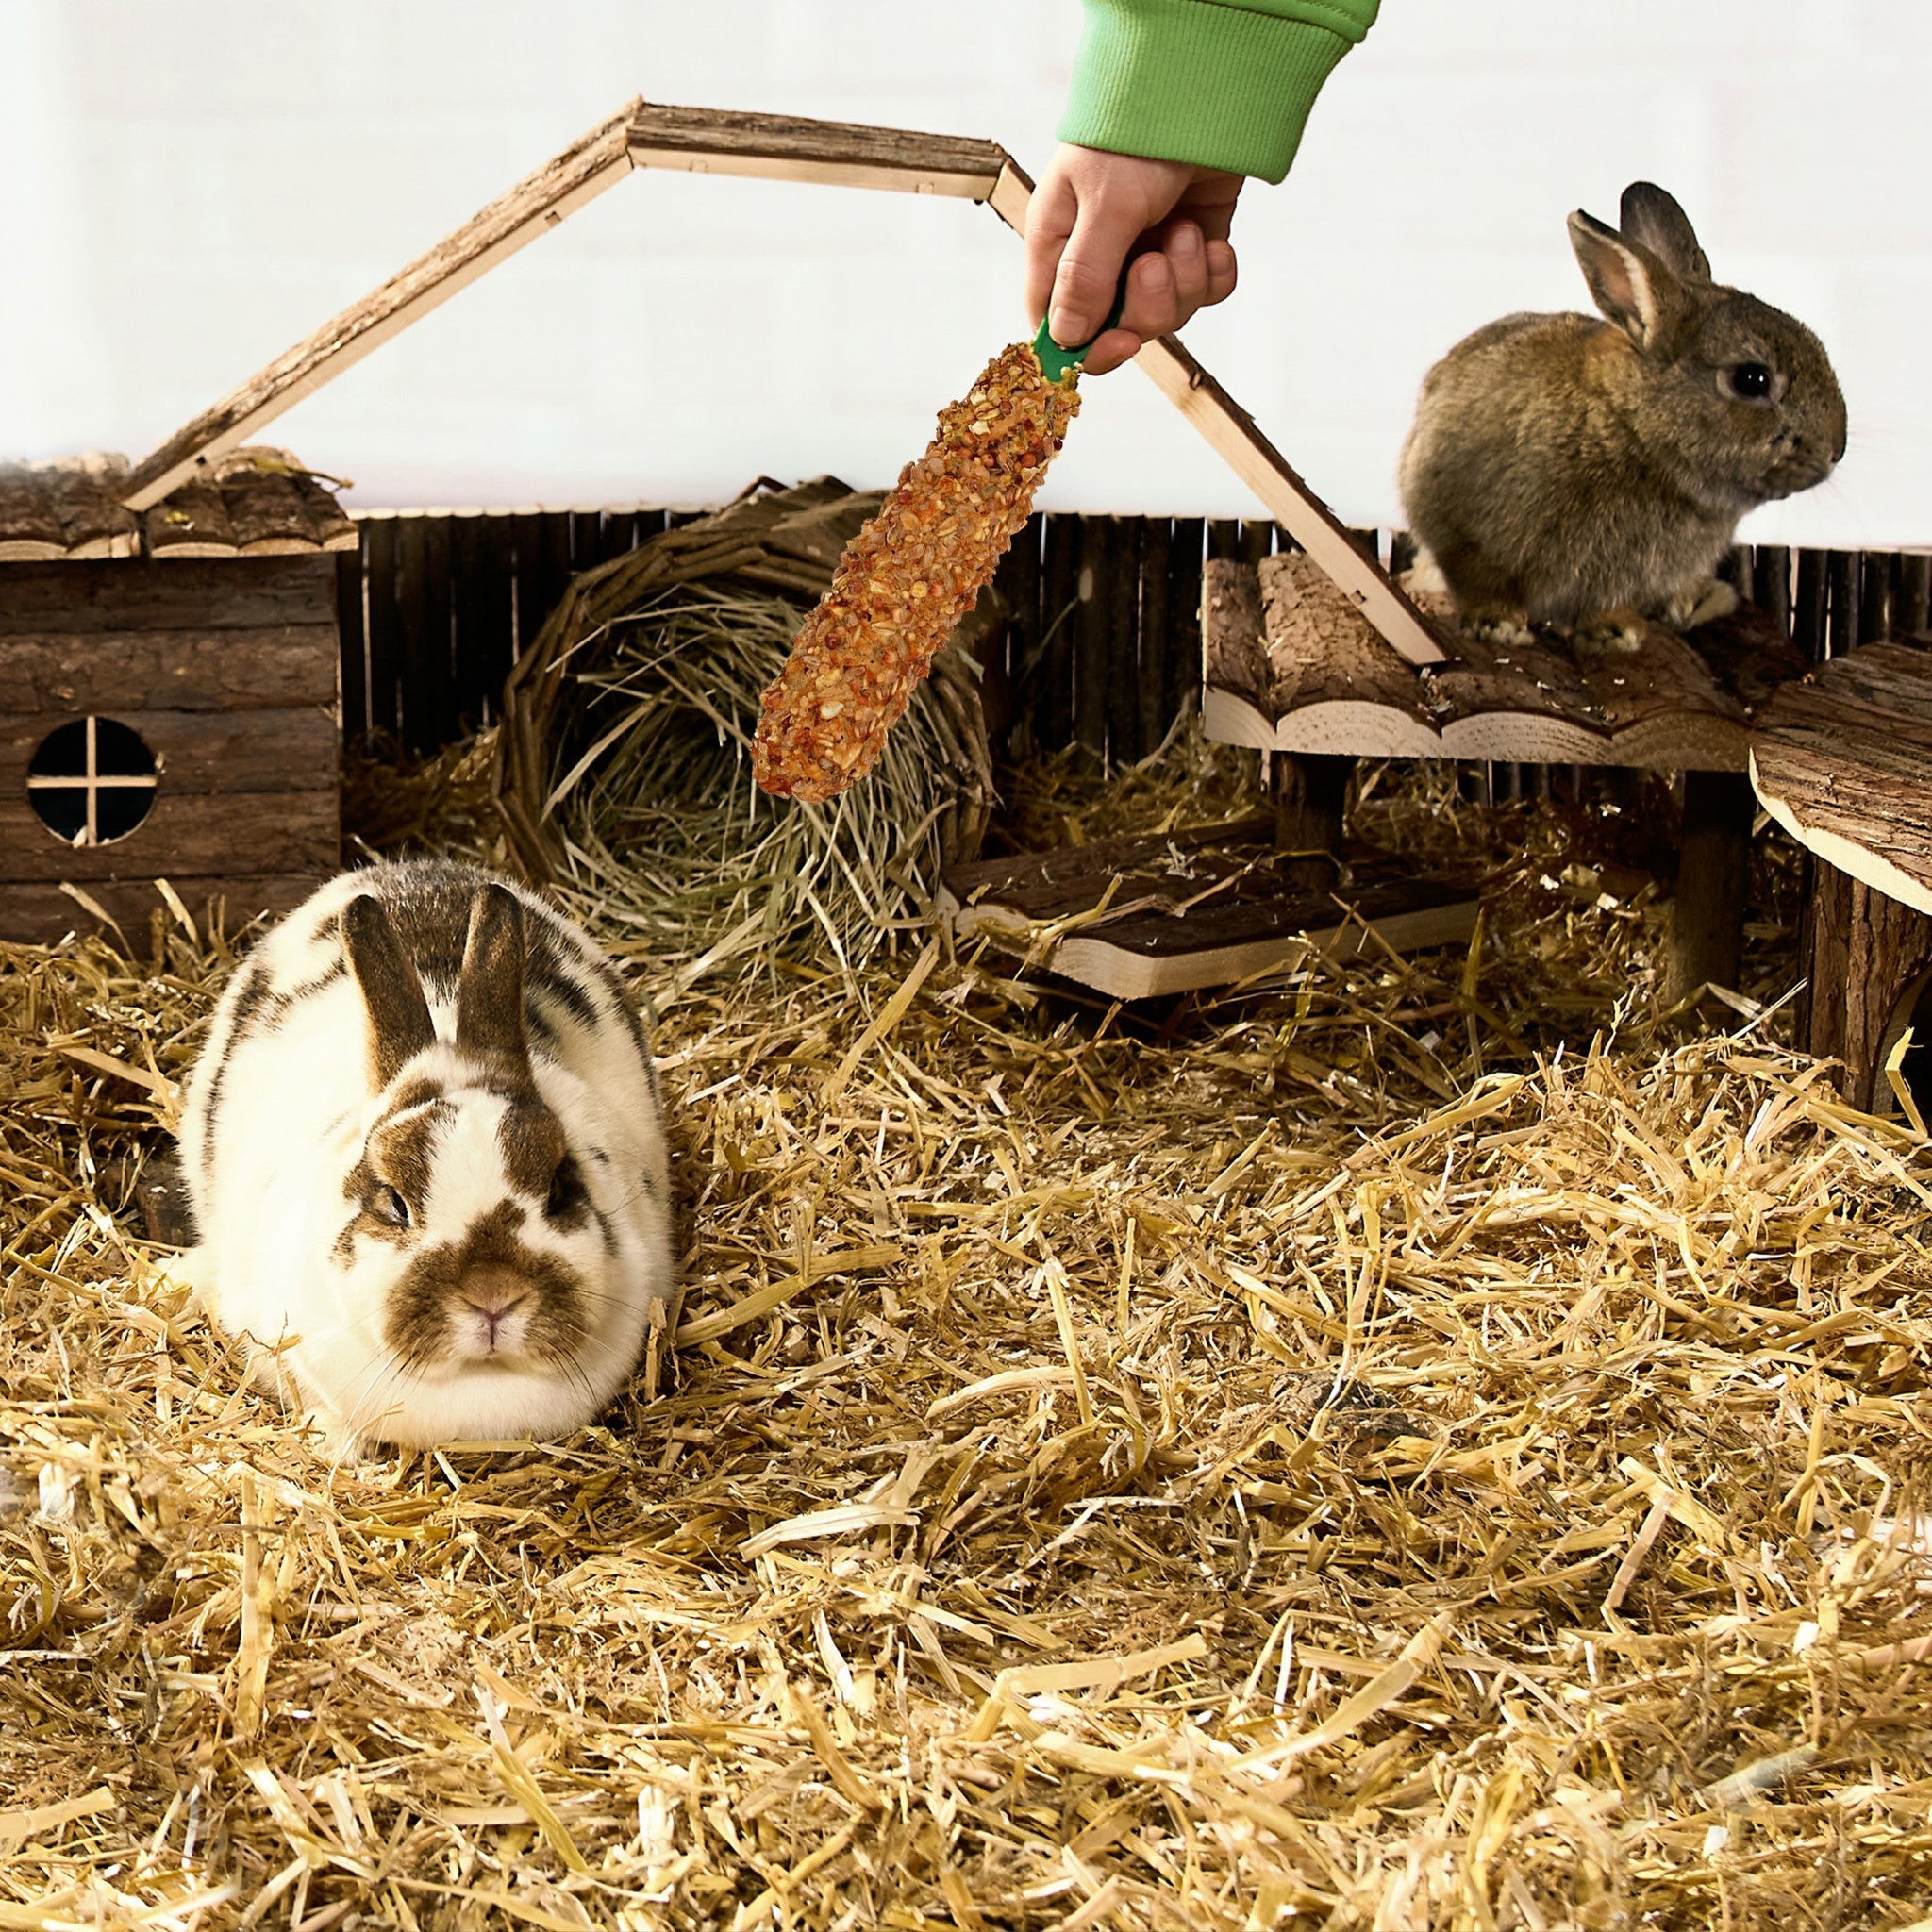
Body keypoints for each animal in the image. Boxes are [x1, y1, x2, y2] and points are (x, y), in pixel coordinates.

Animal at [1398, 181, 1846, 653]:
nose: (1835, 450)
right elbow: (1479, 583)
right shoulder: (1467, 537)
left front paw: (1617, 633)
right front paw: (1497, 625)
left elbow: (1606, 605)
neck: (1632, 427)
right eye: (1751, 379)